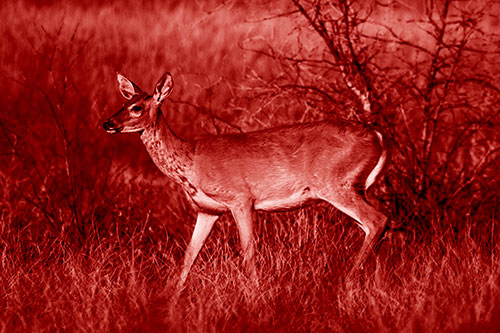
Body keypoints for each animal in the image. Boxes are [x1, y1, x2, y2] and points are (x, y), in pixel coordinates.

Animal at [102, 71, 390, 286]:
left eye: (137, 107)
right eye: (122, 103)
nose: (108, 123)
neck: (190, 162)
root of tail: (378, 136)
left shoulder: (241, 197)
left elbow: (248, 252)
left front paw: (254, 294)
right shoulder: (208, 209)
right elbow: (189, 256)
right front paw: (171, 300)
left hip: (337, 184)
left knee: (377, 220)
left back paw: (347, 282)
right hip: (354, 187)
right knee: (375, 227)